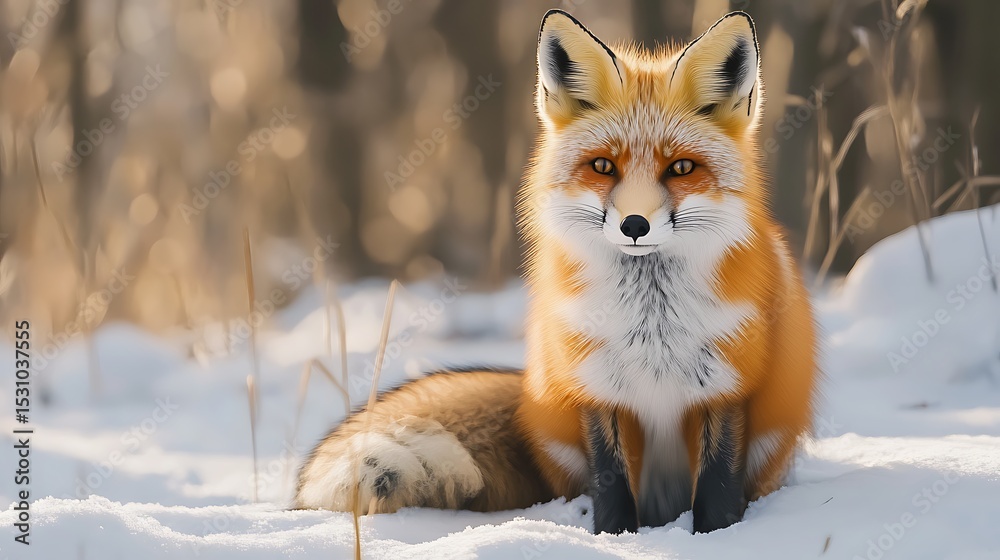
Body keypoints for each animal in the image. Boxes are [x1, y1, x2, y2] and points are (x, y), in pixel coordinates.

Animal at [295, 10, 817, 535]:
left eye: (682, 168)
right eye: (603, 166)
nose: (634, 225)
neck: (652, 328)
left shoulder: (727, 386)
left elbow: (717, 487)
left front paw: (716, 538)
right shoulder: (596, 388)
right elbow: (612, 482)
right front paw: (614, 537)